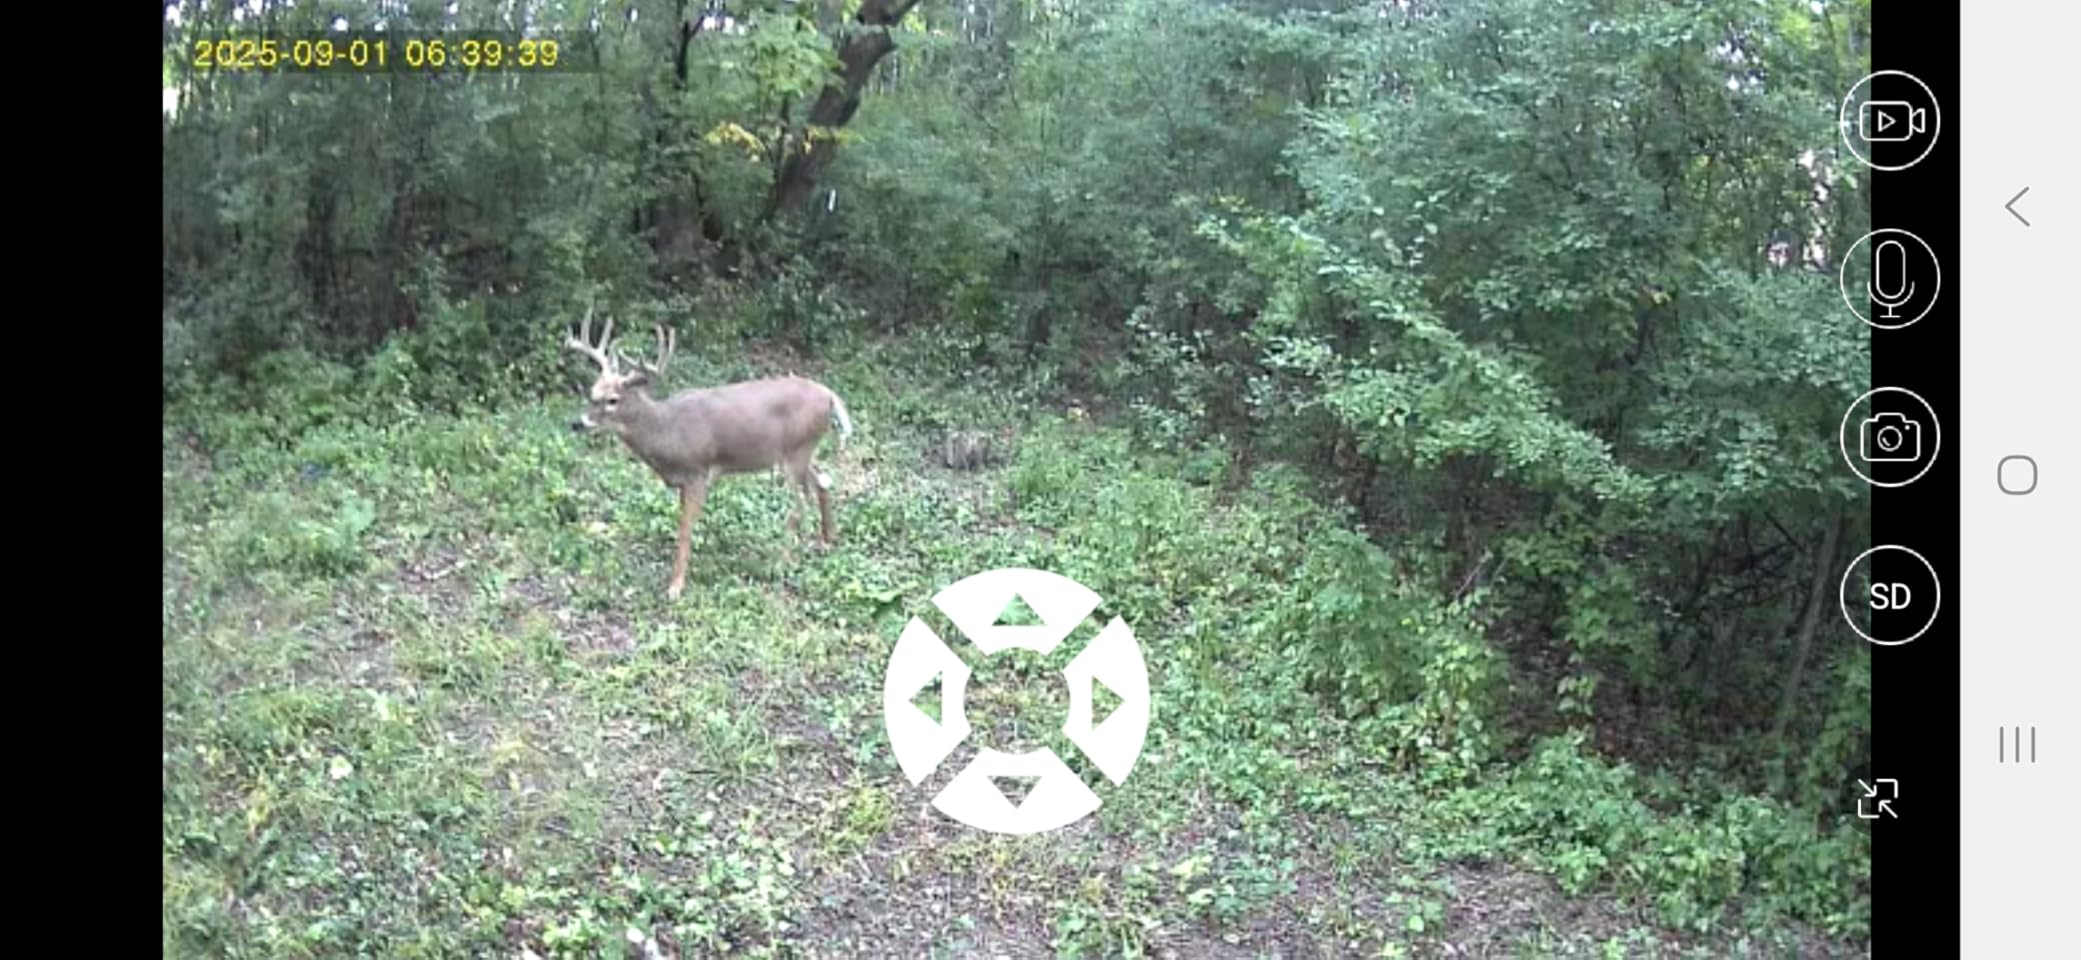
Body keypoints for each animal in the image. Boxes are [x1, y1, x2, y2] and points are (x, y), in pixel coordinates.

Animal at [562, 303, 854, 600]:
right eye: (592, 392)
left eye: (613, 400)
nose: (577, 423)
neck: (667, 431)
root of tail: (830, 395)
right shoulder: (683, 481)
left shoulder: (698, 473)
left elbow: (684, 530)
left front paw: (675, 587)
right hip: (804, 450)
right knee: (823, 481)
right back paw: (828, 540)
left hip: (795, 451)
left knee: (800, 504)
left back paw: (781, 563)